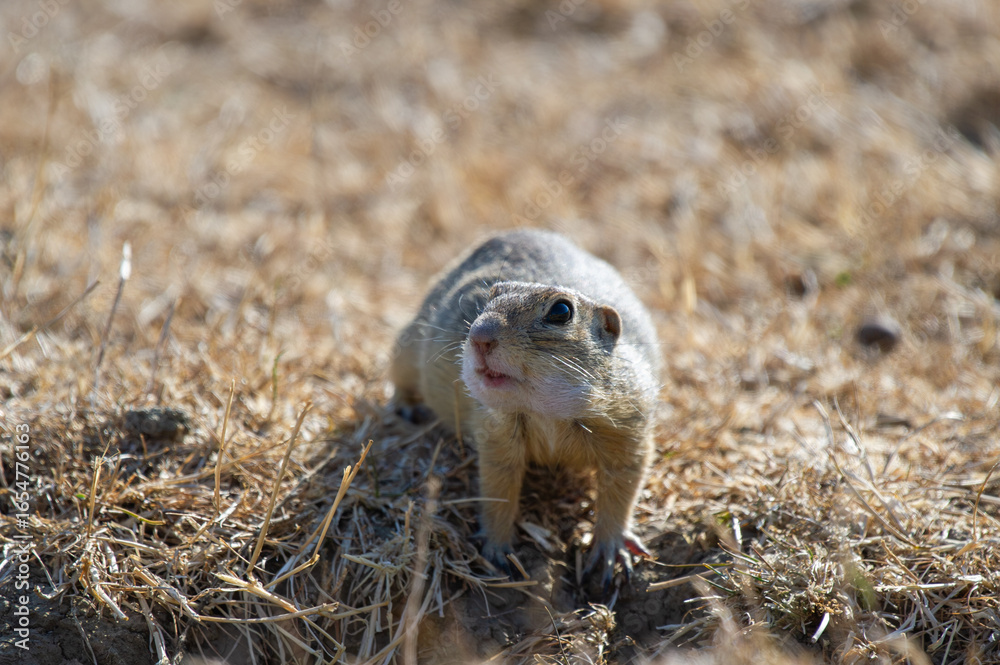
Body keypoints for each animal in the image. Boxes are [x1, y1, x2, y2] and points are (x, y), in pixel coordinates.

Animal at [391, 229, 662, 588]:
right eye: (491, 295)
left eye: (561, 311)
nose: (479, 336)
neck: (547, 412)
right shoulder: (496, 437)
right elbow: (498, 491)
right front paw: (497, 550)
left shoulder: (629, 430)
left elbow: (623, 488)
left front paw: (610, 552)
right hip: (407, 347)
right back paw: (406, 409)